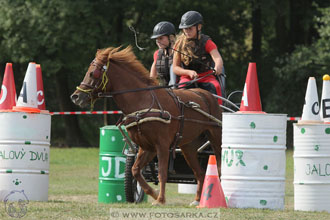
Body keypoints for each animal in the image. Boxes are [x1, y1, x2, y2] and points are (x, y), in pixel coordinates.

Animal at [71, 45, 223, 205]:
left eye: (93, 73)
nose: (75, 96)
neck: (142, 102)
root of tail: (208, 96)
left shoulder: (162, 145)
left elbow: (162, 173)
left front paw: (160, 199)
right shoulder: (146, 147)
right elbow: (135, 170)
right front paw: (153, 193)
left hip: (216, 137)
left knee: (219, 165)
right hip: (188, 147)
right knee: (199, 173)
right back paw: (198, 200)